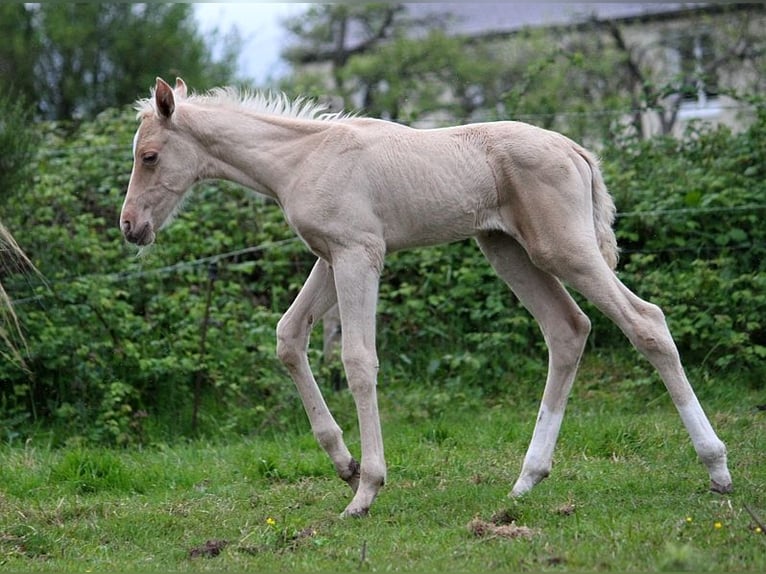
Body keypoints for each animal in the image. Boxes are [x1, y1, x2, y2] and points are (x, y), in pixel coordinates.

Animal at [118, 79, 732, 520]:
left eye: (149, 156)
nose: (129, 227)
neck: (302, 157)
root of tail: (576, 149)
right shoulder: (330, 257)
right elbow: (289, 337)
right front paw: (344, 463)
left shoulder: (360, 254)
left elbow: (358, 361)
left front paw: (365, 490)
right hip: (508, 250)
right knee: (567, 329)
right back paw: (526, 480)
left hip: (564, 249)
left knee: (645, 322)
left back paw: (717, 468)